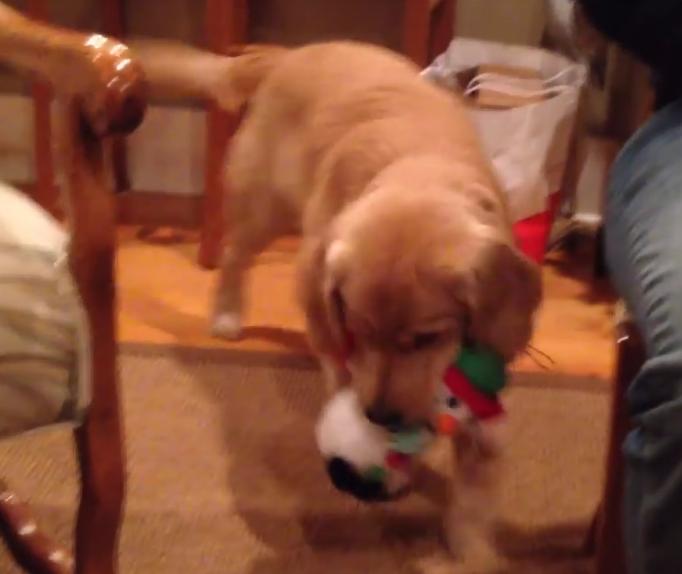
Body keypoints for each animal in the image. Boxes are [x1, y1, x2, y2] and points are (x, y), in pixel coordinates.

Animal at [133, 39, 540, 568]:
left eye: (427, 338)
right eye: (357, 330)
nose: (381, 417)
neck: (420, 167)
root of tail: (287, 55)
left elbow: (475, 490)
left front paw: (471, 549)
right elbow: (341, 370)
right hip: (263, 209)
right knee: (233, 256)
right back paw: (226, 313)